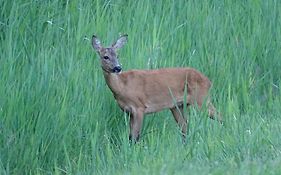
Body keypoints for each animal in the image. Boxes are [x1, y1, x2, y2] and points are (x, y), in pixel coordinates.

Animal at [91, 34, 221, 144]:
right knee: (185, 127)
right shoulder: (129, 112)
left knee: (219, 116)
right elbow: (130, 136)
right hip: (177, 106)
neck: (122, 86)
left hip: (201, 99)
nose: (118, 68)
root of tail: (208, 81)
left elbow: (135, 137)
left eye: (117, 56)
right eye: (105, 57)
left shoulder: (139, 107)